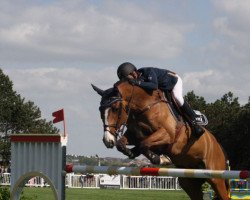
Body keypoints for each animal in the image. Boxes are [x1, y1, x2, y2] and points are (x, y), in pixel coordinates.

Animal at [91, 80, 229, 199]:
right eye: (100, 110)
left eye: (115, 108)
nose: (107, 140)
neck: (145, 106)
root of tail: (218, 146)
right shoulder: (135, 134)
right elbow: (124, 144)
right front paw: (132, 152)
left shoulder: (167, 135)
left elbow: (144, 144)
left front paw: (161, 159)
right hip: (189, 181)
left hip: (216, 178)